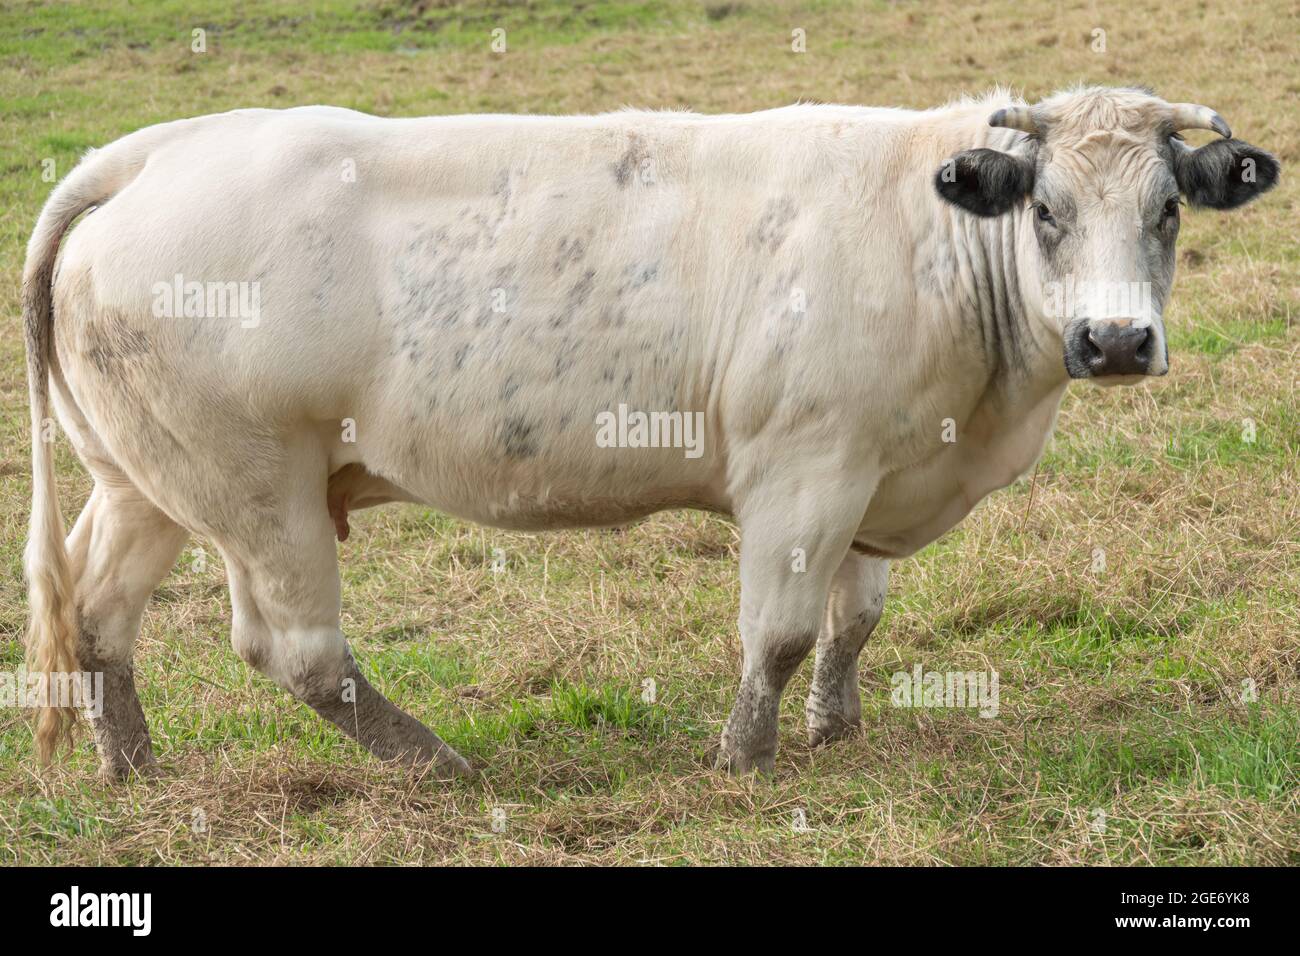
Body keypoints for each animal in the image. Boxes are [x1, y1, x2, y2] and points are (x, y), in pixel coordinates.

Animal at [22, 87, 1279, 780]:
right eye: (1046, 208)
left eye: (1169, 208)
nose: (1114, 340)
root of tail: (156, 150)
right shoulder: (804, 470)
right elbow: (778, 628)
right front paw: (743, 756)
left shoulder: (870, 471)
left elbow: (854, 617)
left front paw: (833, 724)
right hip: (259, 491)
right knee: (297, 651)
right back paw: (439, 761)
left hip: (142, 480)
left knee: (97, 609)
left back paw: (131, 761)